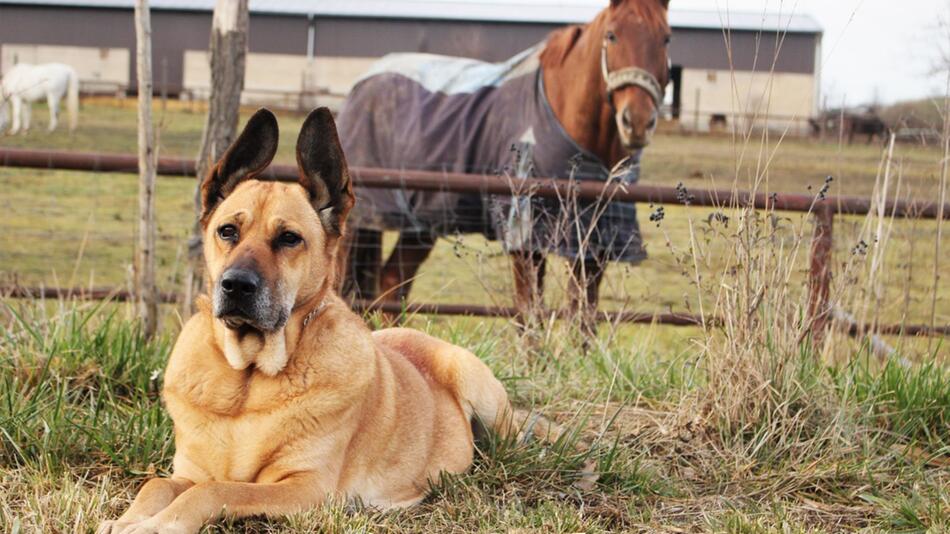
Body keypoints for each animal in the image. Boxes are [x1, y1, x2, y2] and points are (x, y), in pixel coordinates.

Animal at [101, 108, 520, 532]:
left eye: (289, 238)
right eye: (227, 231)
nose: (235, 285)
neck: (248, 381)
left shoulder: (305, 488)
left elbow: (216, 489)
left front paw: (160, 523)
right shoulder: (188, 472)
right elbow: (156, 484)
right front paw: (127, 520)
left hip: (477, 385)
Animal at [338, 0, 672, 336]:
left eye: (666, 38)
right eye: (612, 35)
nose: (637, 122)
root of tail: (361, 86)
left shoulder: (593, 244)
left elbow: (583, 321)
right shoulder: (524, 239)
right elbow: (530, 316)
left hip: (419, 224)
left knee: (393, 282)